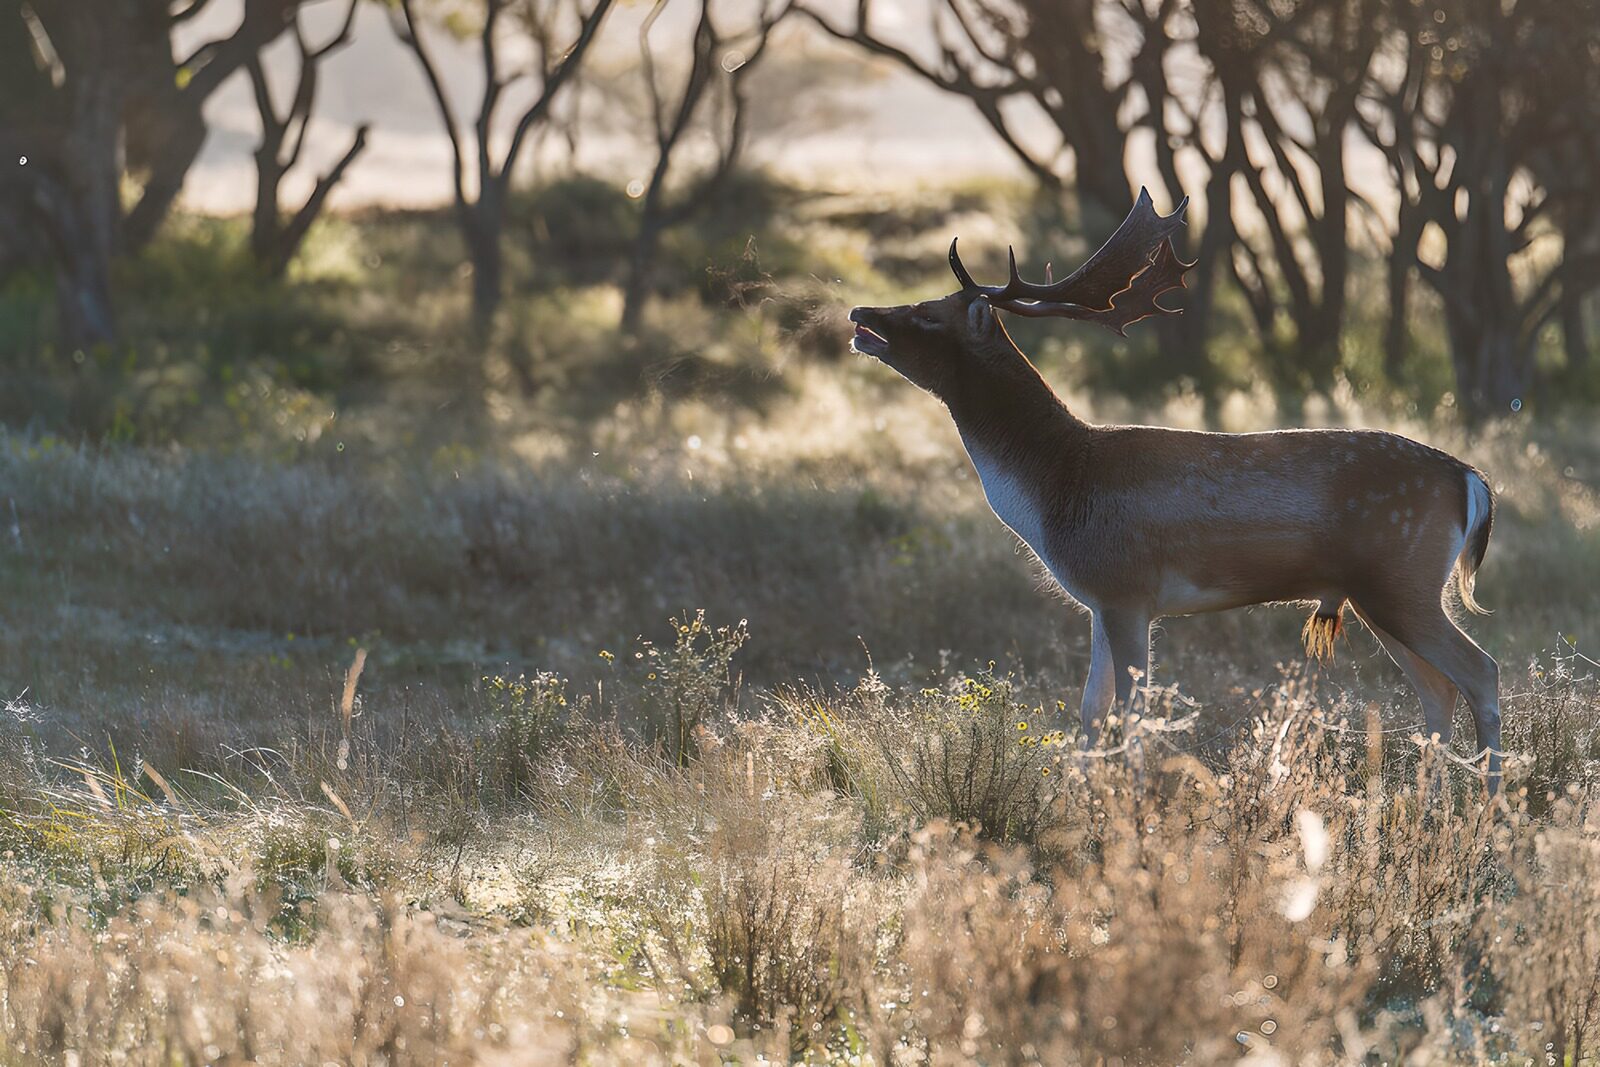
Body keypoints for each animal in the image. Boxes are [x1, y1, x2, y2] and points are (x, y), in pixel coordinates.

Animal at [848, 190, 1502, 791]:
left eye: (930, 314)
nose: (860, 314)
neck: (1058, 482)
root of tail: (1469, 480)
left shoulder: (1126, 588)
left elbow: (1134, 712)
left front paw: (1132, 804)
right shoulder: (1100, 600)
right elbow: (1091, 710)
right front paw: (1085, 800)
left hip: (1400, 580)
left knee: (1481, 670)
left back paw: (1487, 807)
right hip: (1384, 594)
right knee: (1439, 689)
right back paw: (1423, 804)